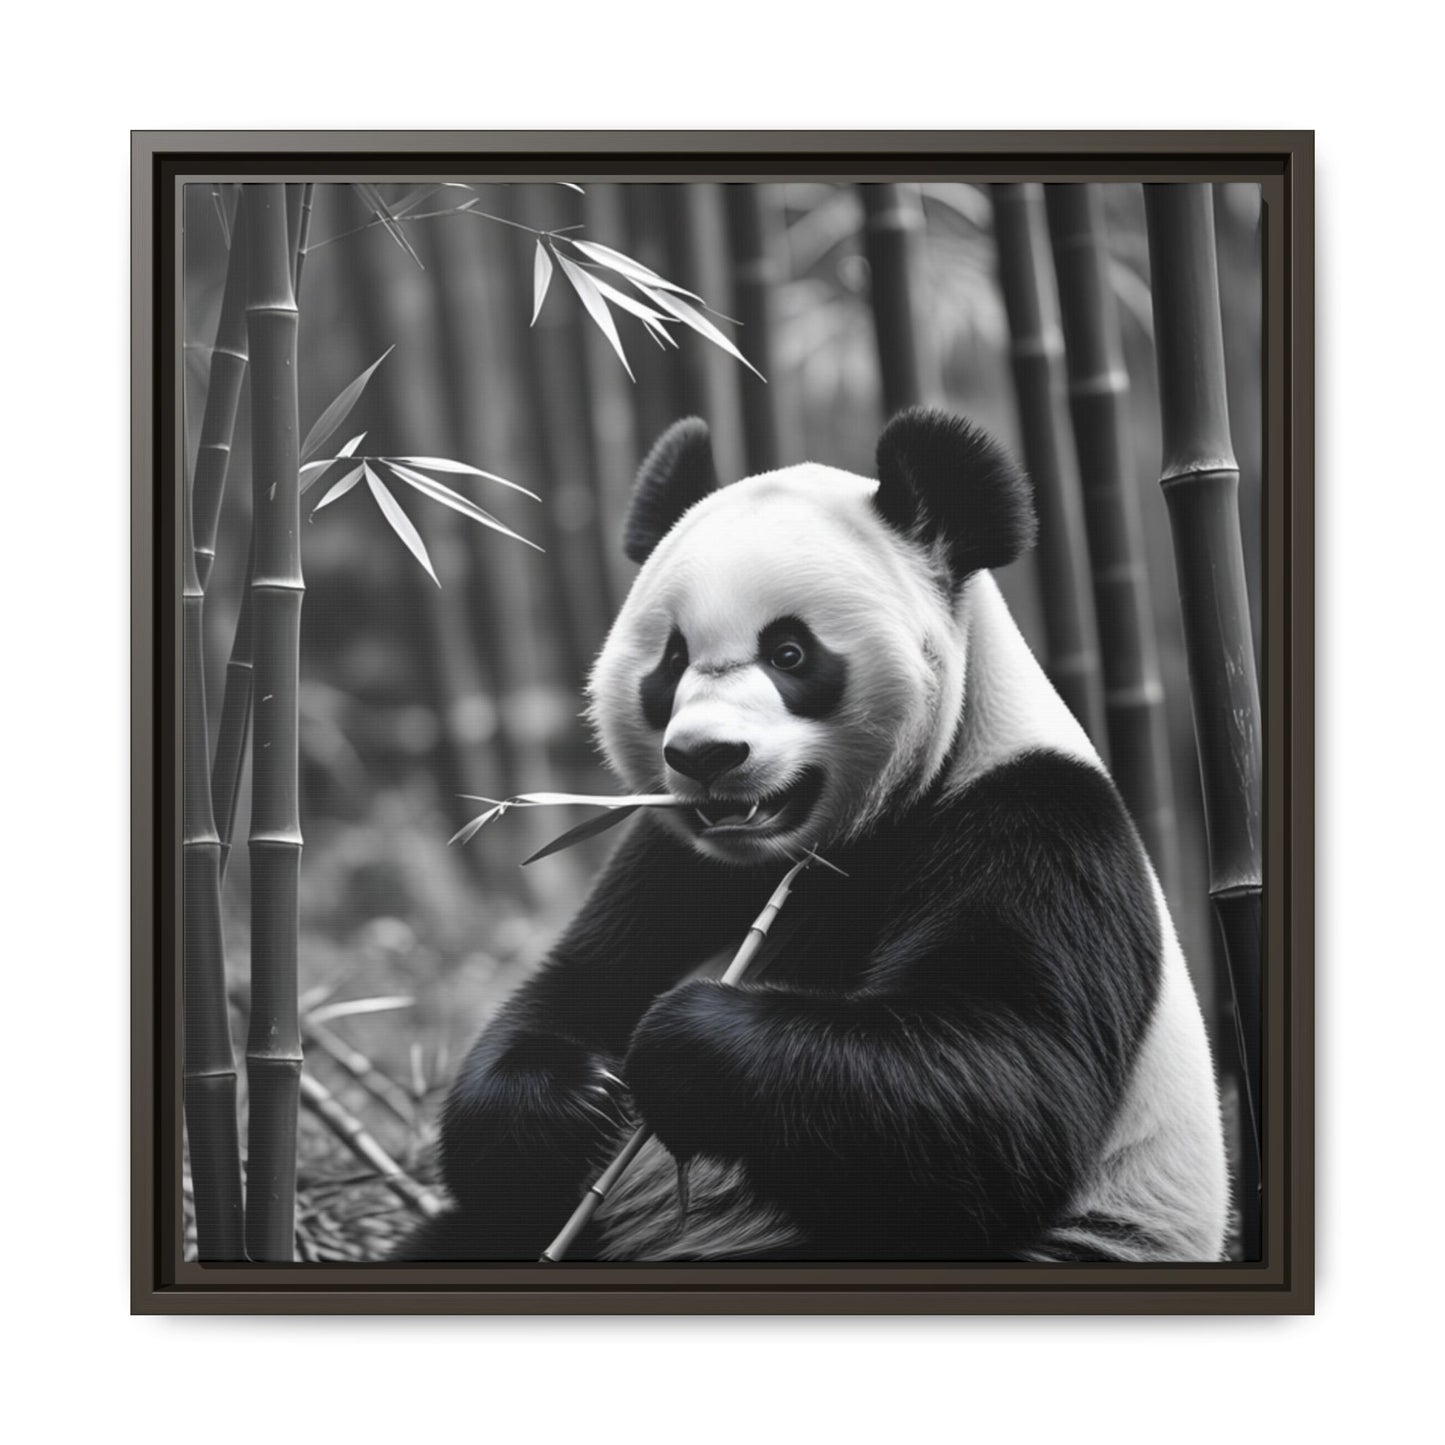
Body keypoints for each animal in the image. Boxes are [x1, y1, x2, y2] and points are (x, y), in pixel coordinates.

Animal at [401, 409, 1228, 1263]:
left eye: (789, 652)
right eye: (672, 659)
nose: (705, 755)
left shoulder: (1035, 821)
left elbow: (1003, 1084)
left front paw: (679, 1041)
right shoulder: (675, 860)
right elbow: (564, 995)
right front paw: (580, 1097)